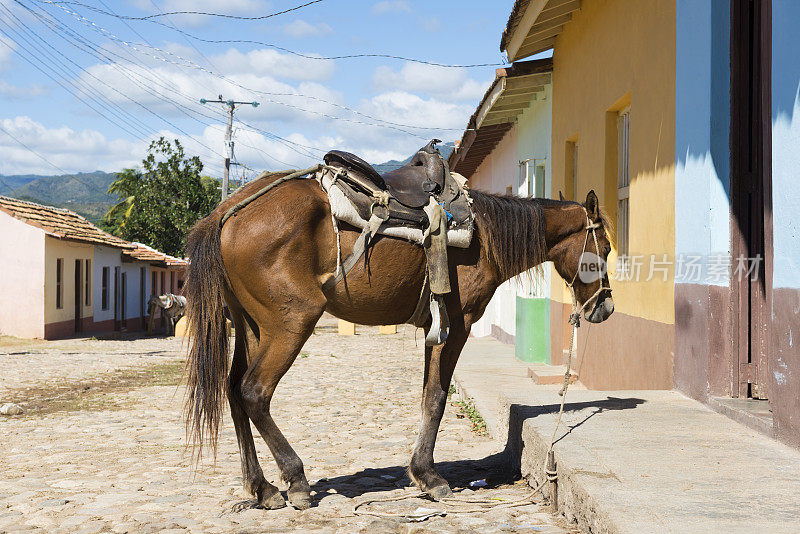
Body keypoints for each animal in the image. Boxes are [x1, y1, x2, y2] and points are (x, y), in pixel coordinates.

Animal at [184, 174, 616, 512]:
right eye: (607, 249)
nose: (606, 307)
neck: (485, 235)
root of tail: (229, 211)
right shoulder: (455, 327)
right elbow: (437, 397)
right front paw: (429, 477)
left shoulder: (434, 328)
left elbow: (427, 395)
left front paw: (421, 472)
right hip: (291, 323)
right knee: (254, 392)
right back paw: (297, 480)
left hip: (251, 327)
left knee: (234, 392)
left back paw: (262, 488)